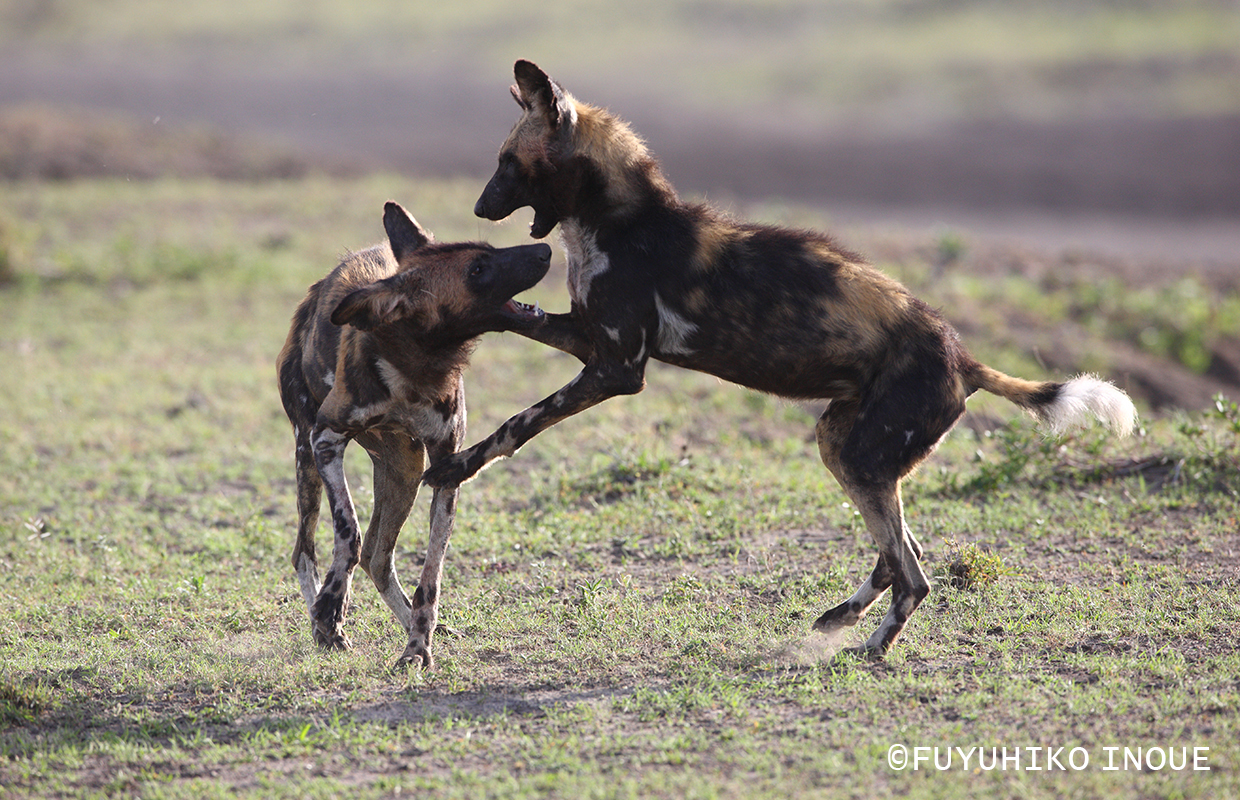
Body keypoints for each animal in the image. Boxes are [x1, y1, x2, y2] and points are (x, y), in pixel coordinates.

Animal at [281, 200, 553, 669]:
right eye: (478, 269)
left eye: (488, 250)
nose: (546, 251)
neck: (415, 366)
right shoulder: (325, 439)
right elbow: (347, 532)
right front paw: (330, 611)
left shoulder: (446, 468)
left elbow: (431, 572)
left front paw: (418, 646)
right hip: (307, 460)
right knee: (310, 550)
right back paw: (323, 619)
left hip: (405, 470)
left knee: (377, 557)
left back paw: (409, 624)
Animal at [421, 62, 1135, 659]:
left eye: (509, 163)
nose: (480, 206)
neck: (618, 220)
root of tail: (963, 356)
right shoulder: (591, 341)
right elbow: (527, 326)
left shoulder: (617, 370)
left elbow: (519, 423)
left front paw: (457, 466)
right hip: (844, 444)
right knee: (899, 551)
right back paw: (839, 620)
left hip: (861, 456)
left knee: (913, 575)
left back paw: (872, 648)